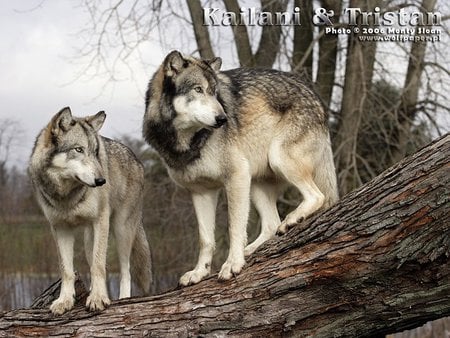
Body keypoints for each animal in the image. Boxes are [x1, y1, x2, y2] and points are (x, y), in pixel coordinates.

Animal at [28, 107, 151, 314]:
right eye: (79, 149)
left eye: (95, 152)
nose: (102, 181)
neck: (67, 196)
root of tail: (136, 159)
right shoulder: (60, 228)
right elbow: (67, 270)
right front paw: (64, 300)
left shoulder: (101, 221)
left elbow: (99, 266)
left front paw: (99, 298)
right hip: (88, 240)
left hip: (121, 230)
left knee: (125, 270)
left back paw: (123, 299)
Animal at [144, 50, 338, 286]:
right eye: (198, 89)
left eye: (215, 93)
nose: (223, 118)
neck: (186, 142)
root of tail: (315, 95)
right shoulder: (201, 192)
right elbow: (205, 239)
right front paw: (199, 272)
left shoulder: (235, 177)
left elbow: (234, 227)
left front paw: (232, 263)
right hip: (255, 183)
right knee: (271, 224)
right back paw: (251, 250)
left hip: (276, 159)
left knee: (317, 197)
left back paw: (291, 220)